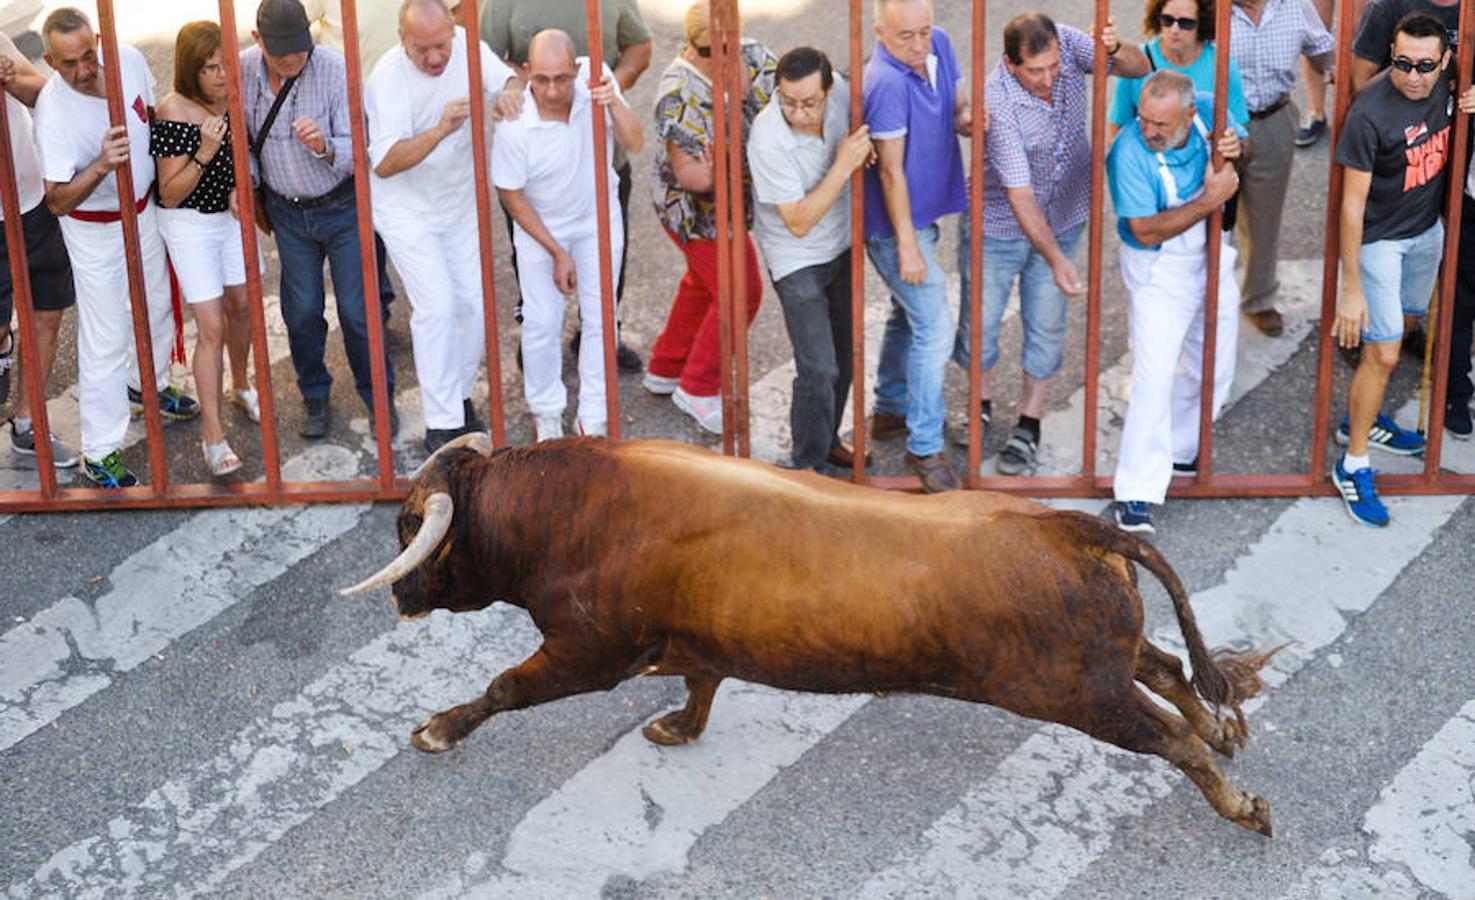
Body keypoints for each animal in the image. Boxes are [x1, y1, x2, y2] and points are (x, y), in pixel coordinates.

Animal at [345, 433, 1280, 832]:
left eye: (409, 527)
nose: (400, 599)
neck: (560, 508)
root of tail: (1070, 526)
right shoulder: (694, 639)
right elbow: (701, 682)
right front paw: (677, 729)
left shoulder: (586, 652)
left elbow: (504, 686)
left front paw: (435, 730)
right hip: (1098, 666)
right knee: (1168, 669)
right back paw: (1224, 729)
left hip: (1076, 692)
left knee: (1166, 732)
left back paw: (1241, 805)